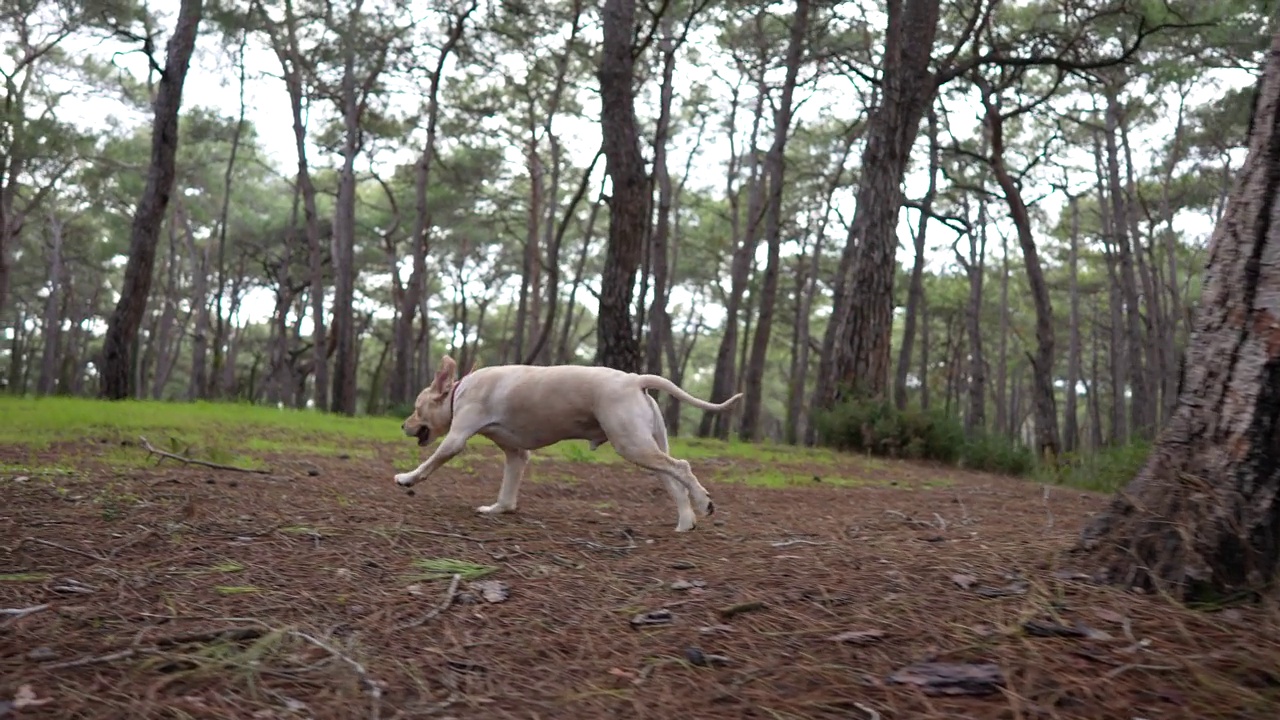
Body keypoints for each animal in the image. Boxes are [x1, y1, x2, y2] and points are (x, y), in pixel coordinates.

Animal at [394, 353, 747, 530]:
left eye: (416, 408)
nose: (402, 424)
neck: (458, 391)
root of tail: (635, 380)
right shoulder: (516, 455)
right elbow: (508, 488)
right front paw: (499, 509)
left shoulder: (456, 438)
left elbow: (430, 463)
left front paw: (406, 477)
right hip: (646, 446)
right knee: (673, 480)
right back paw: (686, 521)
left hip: (631, 444)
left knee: (683, 468)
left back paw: (703, 502)